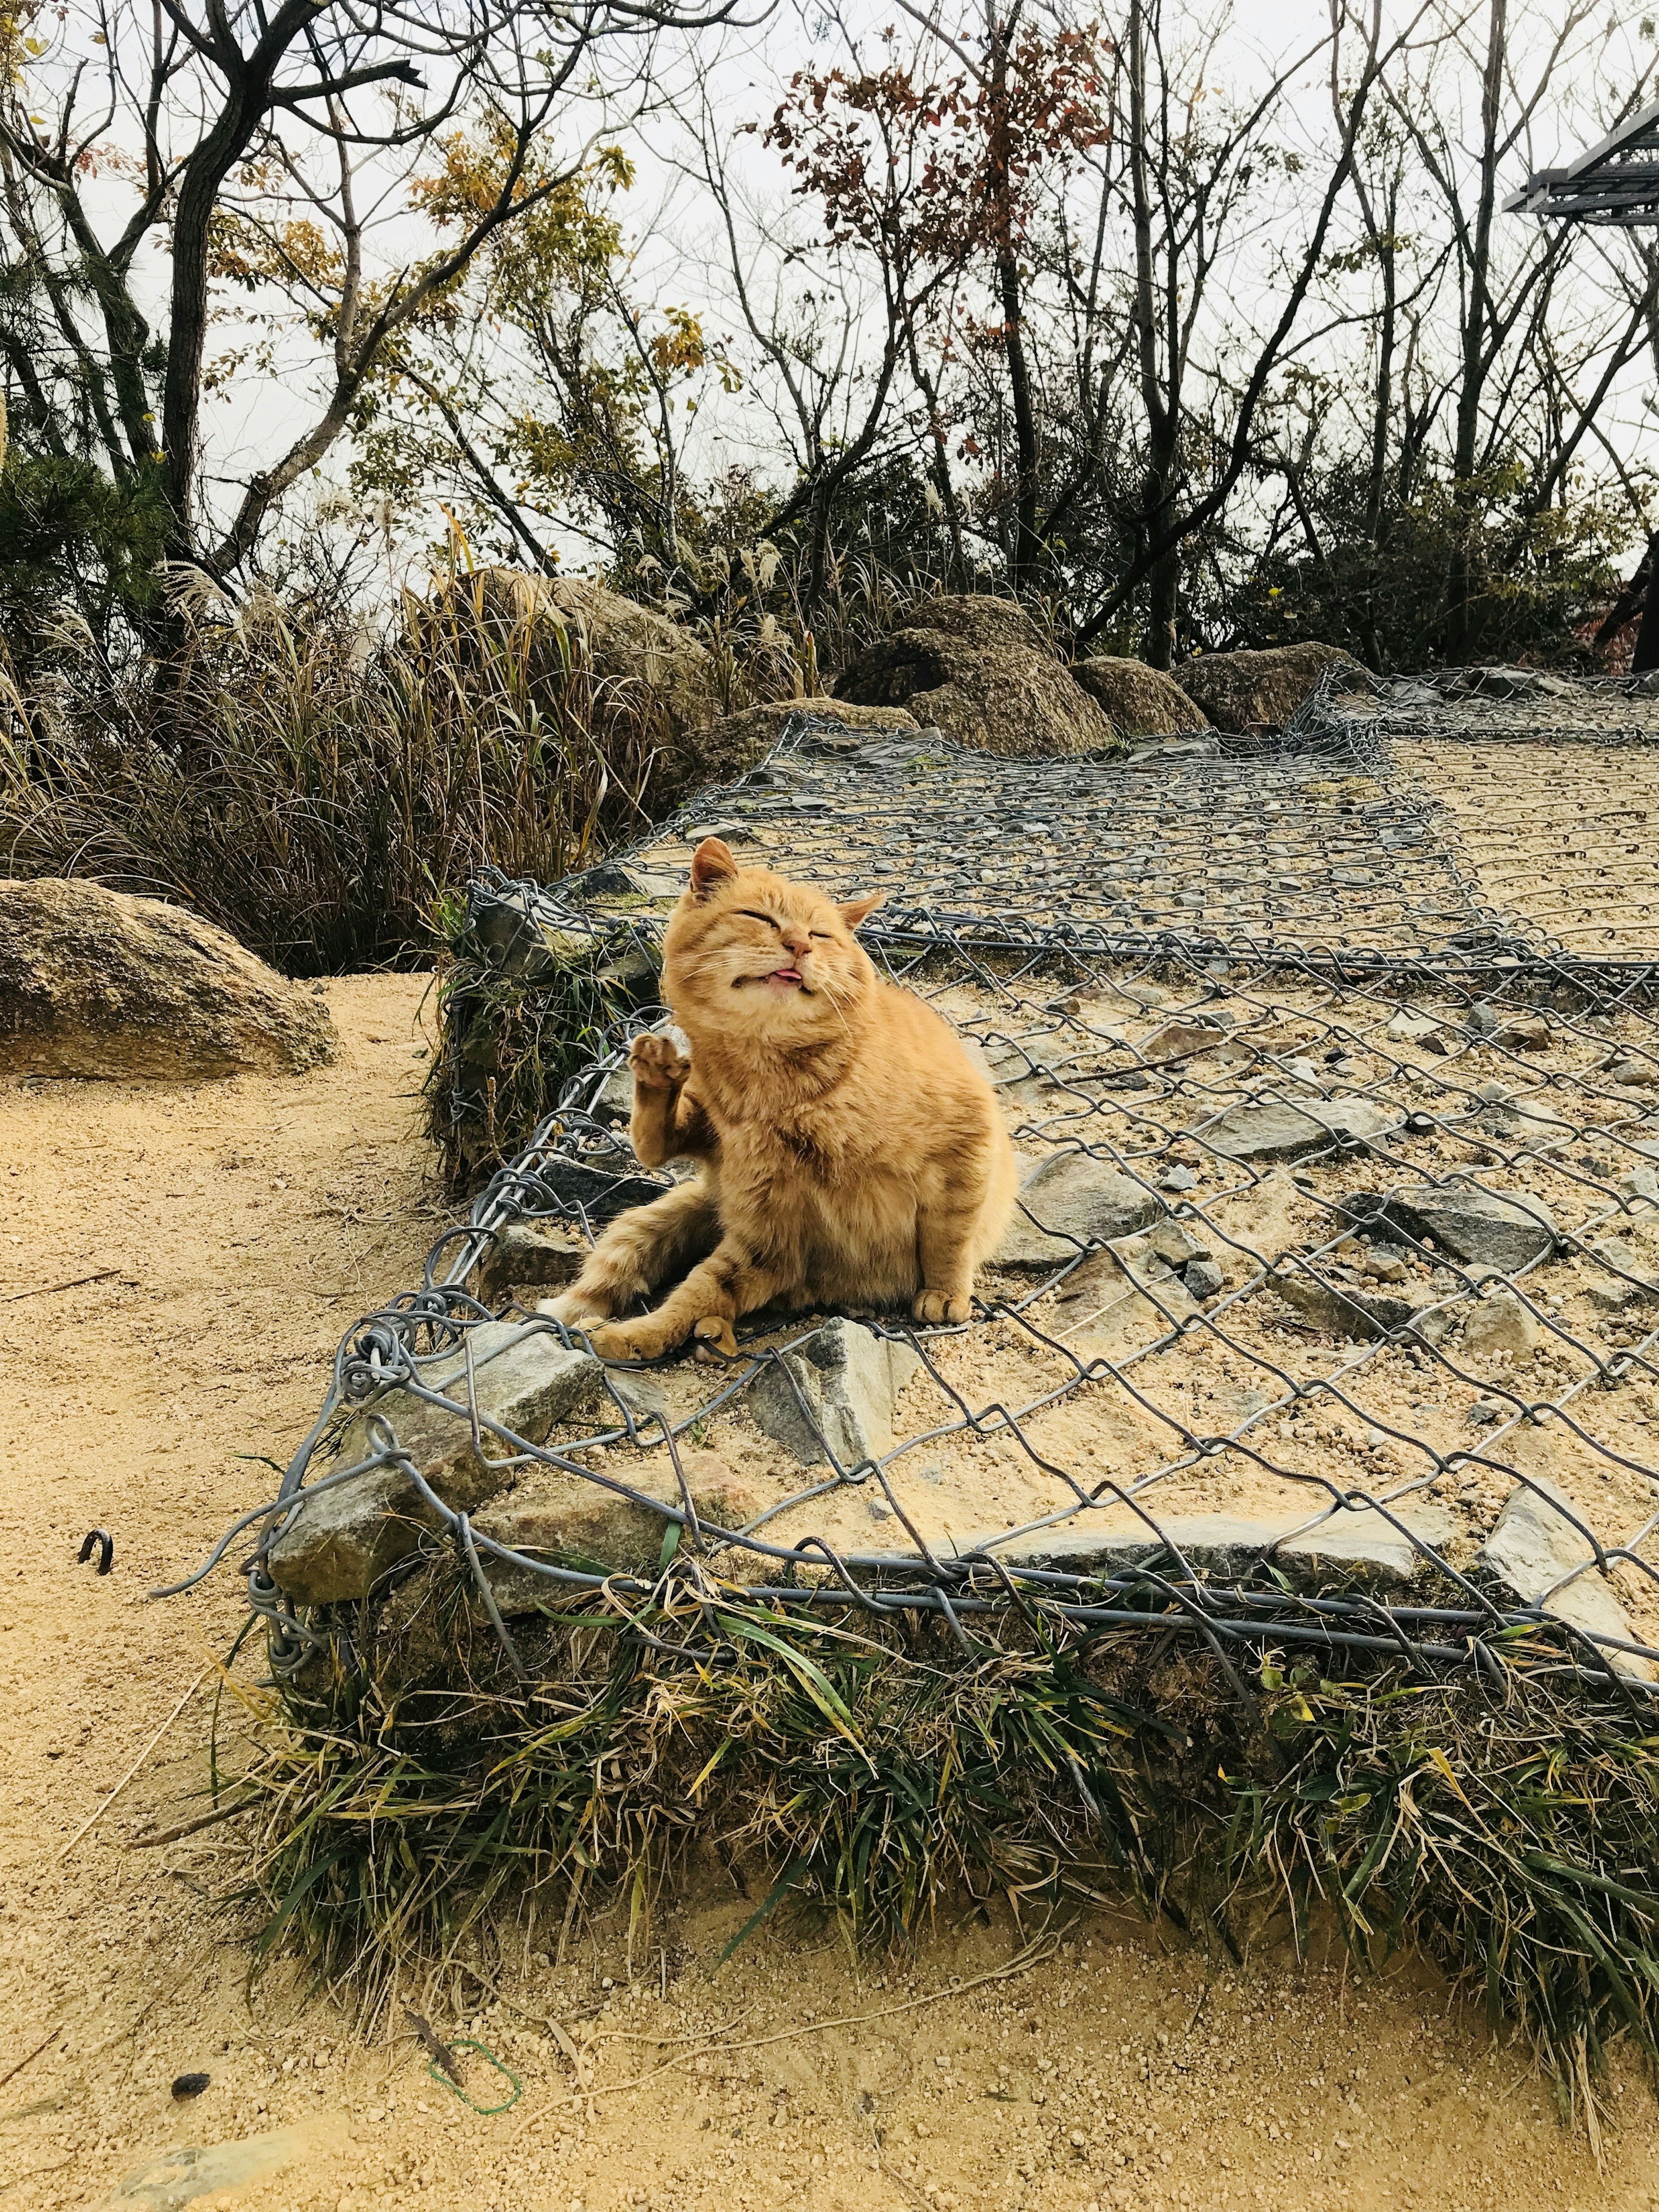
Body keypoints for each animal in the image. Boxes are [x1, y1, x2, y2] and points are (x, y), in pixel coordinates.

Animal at [553, 832, 1022, 1354]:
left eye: (820, 935)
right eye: (760, 918)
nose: (798, 945)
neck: (776, 1084)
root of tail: (715, 1197)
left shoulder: (967, 1141)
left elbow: (950, 1238)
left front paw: (945, 1293)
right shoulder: (769, 1231)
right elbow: (700, 1288)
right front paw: (638, 1336)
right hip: (697, 1192)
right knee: (654, 1155)